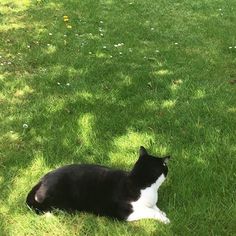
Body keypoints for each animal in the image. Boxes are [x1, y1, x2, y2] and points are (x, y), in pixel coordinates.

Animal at [26, 146, 170, 223]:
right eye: (165, 166)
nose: (168, 166)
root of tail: (42, 180)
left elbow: (155, 208)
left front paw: (162, 212)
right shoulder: (127, 213)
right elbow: (151, 212)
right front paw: (165, 219)